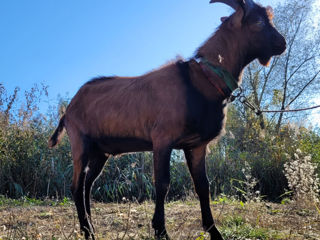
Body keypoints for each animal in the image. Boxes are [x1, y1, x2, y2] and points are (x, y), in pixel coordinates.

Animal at [48, 0, 286, 239]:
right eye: (258, 22)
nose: (282, 44)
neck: (202, 81)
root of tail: (68, 110)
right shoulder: (162, 138)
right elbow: (162, 184)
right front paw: (160, 230)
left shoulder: (196, 145)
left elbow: (203, 186)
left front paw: (214, 231)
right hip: (81, 141)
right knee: (76, 186)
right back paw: (88, 231)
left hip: (100, 151)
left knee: (88, 184)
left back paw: (89, 226)